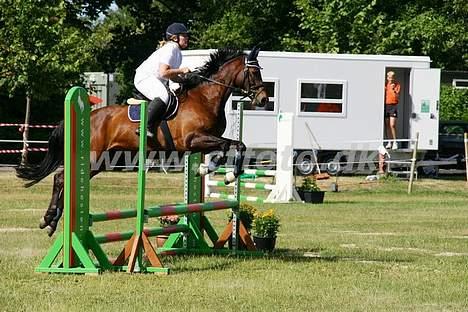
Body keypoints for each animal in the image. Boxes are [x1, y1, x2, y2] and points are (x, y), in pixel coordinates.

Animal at [16, 47, 268, 236]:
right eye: (253, 73)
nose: (263, 99)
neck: (205, 98)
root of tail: (90, 116)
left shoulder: (204, 141)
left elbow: (237, 145)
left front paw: (213, 171)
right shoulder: (193, 140)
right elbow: (229, 146)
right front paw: (220, 173)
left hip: (102, 161)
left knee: (68, 179)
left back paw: (51, 222)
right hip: (92, 156)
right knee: (61, 177)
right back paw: (49, 218)